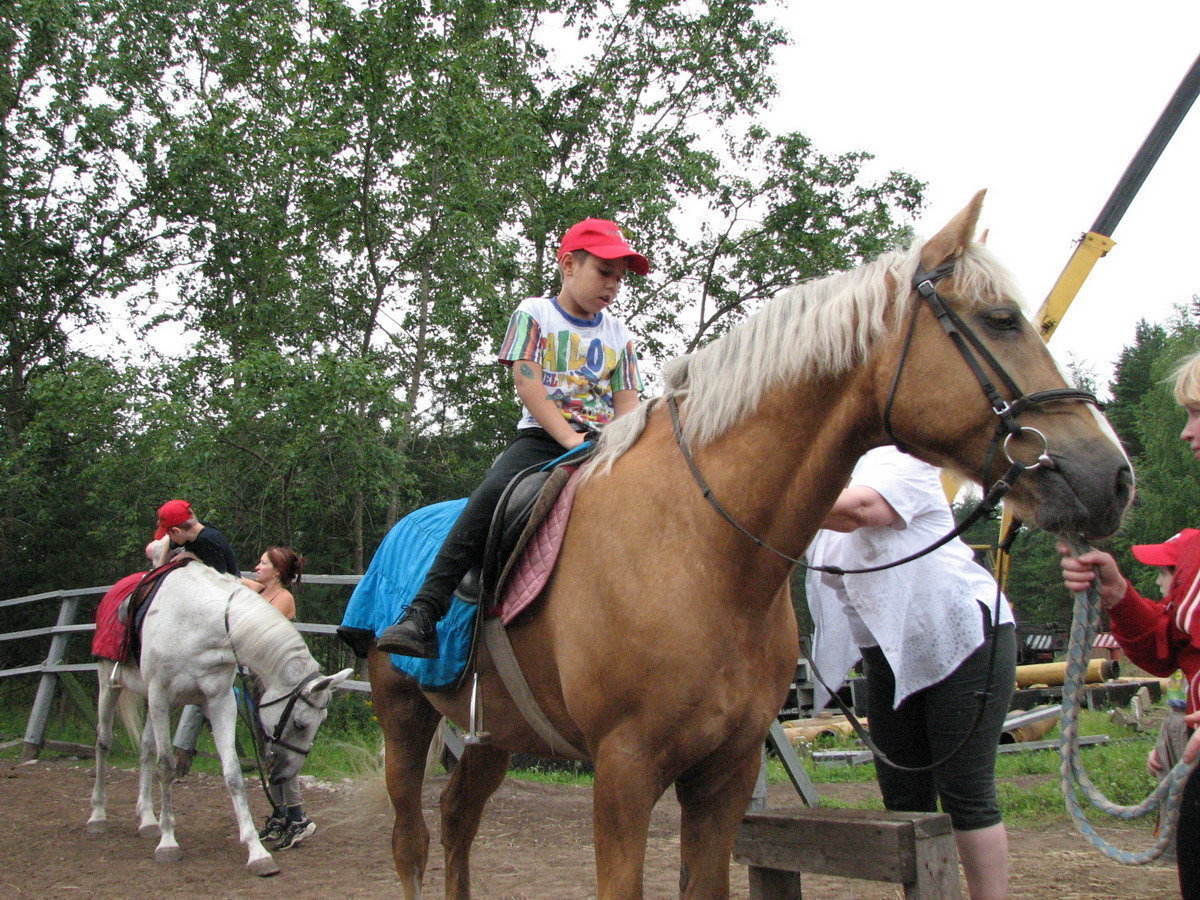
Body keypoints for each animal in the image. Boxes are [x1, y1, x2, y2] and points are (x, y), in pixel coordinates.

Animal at [88, 561, 350, 878]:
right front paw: (168, 842)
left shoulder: (219, 702)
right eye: (300, 724)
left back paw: (148, 819)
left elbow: (233, 774)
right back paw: (98, 815)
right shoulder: (162, 697)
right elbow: (167, 766)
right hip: (110, 684)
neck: (199, 625)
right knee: (103, 742)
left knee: (146, 749)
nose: (285, 774)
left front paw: (256, 851)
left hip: (151, 703)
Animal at [367, 194, 1132, 897]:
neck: (702, 550)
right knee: (411, 841)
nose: (1113, 477)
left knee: (459, 817)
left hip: (492, 732)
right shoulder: (623, 769)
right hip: (402, 716)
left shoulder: (726, 773)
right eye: (1000, 319)